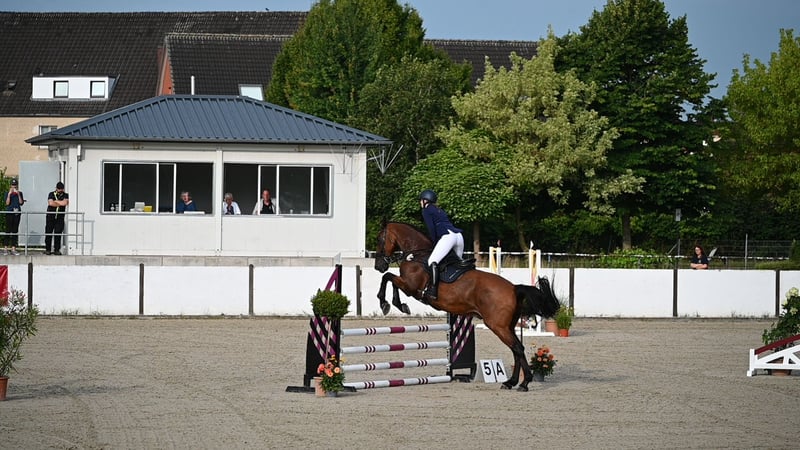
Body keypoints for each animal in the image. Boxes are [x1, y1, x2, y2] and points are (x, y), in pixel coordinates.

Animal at [374, 221, 560, 391]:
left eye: (380, 239)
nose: (378, 266)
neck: (416, 254)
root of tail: (514, 288)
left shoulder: (410, 287)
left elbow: (388, 278)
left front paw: (387, 303)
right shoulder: (408, 286)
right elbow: (390, 279)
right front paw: (397, 304)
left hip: (498, 326)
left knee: (517, 348)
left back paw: (523, 383)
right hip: (507, 326)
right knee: (516, 350)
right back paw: (511, 382)